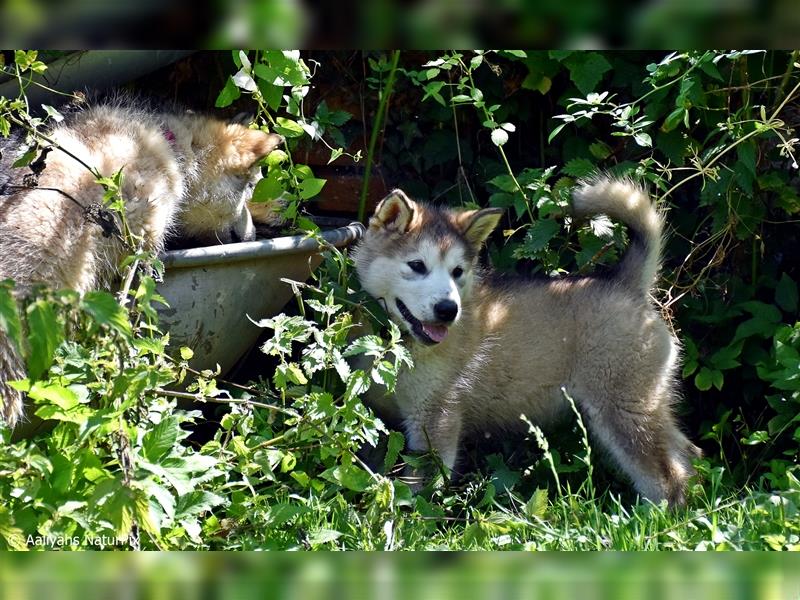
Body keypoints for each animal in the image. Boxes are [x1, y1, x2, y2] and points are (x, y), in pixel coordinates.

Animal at [356, 178, 700, 506]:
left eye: (457, 272)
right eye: (417, 265)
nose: (448, 309)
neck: (401, 345)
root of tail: (626, 285)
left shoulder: (436, 419)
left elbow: (419, 486)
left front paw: (411, 514)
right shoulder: (383, 418)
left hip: (623, 410)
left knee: (665, 476)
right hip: (648, 402)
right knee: (687, 452)